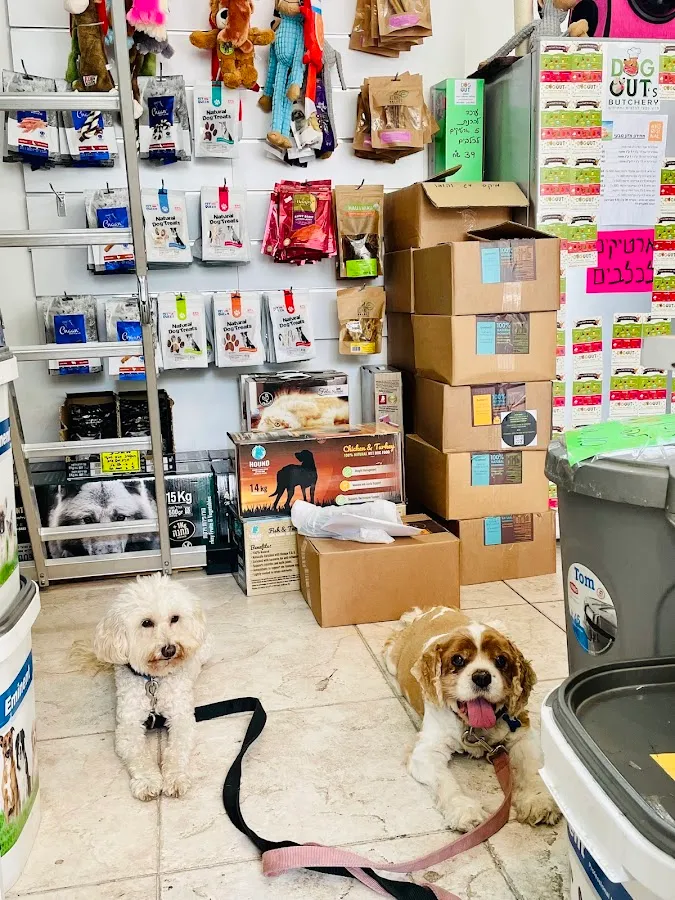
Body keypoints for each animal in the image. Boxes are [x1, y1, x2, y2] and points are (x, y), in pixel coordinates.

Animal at [76, 574, 209, 801]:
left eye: (175, 618)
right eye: (146, 623)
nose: (169, 649)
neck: (154, 680)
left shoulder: (181, 717)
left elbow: (177, 750)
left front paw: (175, 778)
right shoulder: (127, 725)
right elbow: (139, 755)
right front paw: (147, 782)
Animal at [384, 607, 561, 833]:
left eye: (501, 660)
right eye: (458, 660)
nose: (482, 676)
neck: (471, 726)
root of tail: (431, 610)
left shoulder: (523, 734)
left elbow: (532, 768)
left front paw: (537, 800)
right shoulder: (426, 752)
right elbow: (446, 782)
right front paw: (464, 810)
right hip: (391, 658)